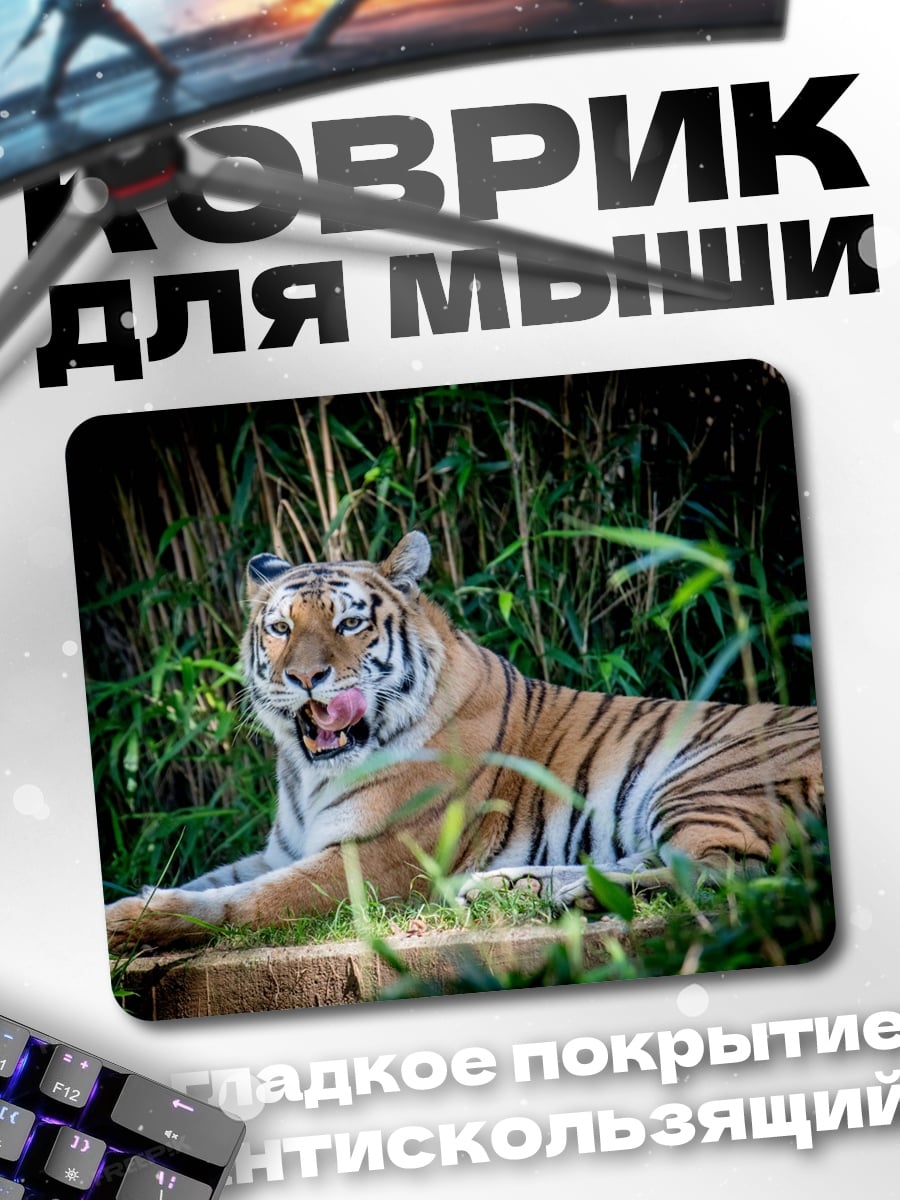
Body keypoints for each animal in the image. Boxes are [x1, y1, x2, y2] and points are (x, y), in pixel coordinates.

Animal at [105, 530, 824, 950]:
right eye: (280, 628)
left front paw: (129, 924)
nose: (304, 678)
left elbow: (241, 900)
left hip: (706, 778)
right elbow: (207, 879)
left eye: (350, 624)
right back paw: (514, 888)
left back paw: (573, 896)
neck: (307, 775)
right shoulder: (282, 848)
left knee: (725, 874)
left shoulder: (376, 858)